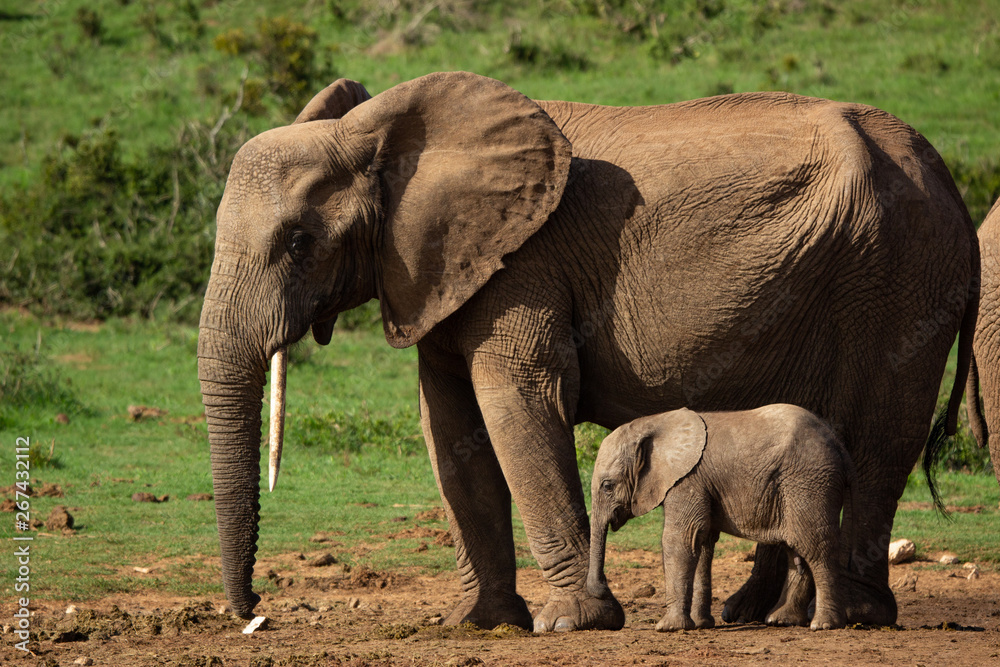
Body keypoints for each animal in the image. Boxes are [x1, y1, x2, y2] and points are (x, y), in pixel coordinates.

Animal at [588, 405, 852, 632]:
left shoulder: (688, 480)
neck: (654, 423)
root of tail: (839, 445)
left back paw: (824, 624)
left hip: (810, 483)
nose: (601, 590)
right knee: (795, 548)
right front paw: (701, 624)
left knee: (814, 546)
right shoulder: (701, 484)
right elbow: (702, 542)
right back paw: (781, 620)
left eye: (608, 486)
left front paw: (668, 627)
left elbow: (680, 539)